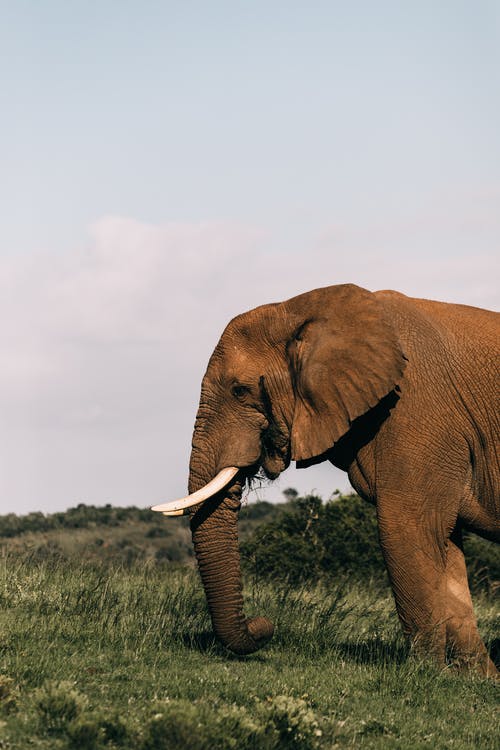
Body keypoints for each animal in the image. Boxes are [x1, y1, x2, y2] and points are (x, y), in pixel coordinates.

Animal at [152, 284, 500, 680]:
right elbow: (445, 546)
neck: (299, 310)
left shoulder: (418, 409)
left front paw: (423, 674)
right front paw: (477, 680)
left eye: (240, 390)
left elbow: (406, 527)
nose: (264, 626)